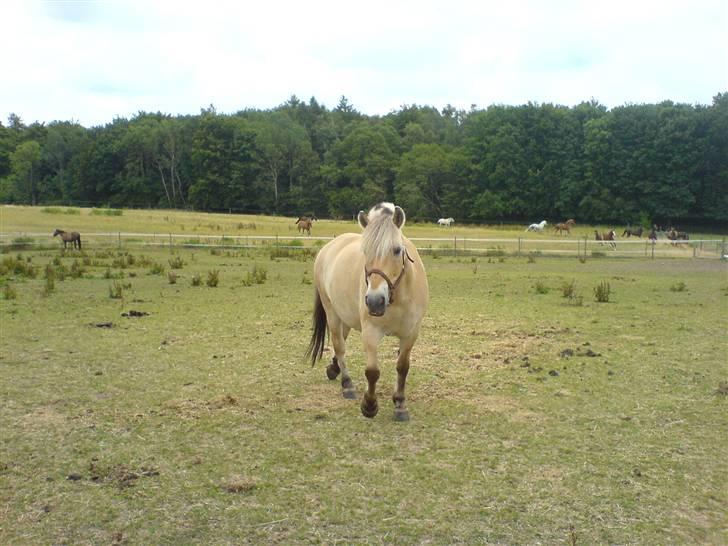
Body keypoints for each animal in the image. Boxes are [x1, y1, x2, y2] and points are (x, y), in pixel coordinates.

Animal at [306, 202, 430, 418]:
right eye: (365, 251)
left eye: (397, 250)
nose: (374, 301)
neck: (396, 298)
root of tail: (329, 247)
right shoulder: (371, 332)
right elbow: (372, 372)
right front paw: (369, 406)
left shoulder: (410, 333)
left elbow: (402, 367)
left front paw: (400, 404)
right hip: (332, 313)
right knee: (339, 345)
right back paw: (347, 385)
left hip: (344, 316)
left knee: (341, 342)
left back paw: (334, 369)